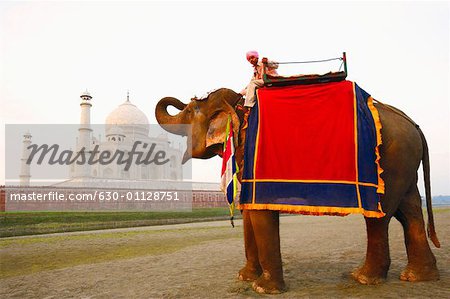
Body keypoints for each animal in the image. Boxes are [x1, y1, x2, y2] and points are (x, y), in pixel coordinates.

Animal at [155, 88, 440, 294]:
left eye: (191, 110)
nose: (187, 98)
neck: (240, 106)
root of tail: (414, 125)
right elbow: (249, 213)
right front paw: (245, 277)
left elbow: (260, 214)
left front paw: (264, 288)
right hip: (404, 162)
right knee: (409, 211)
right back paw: (417, 276)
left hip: (390, 160)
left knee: (381, 216)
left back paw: (363, 277)